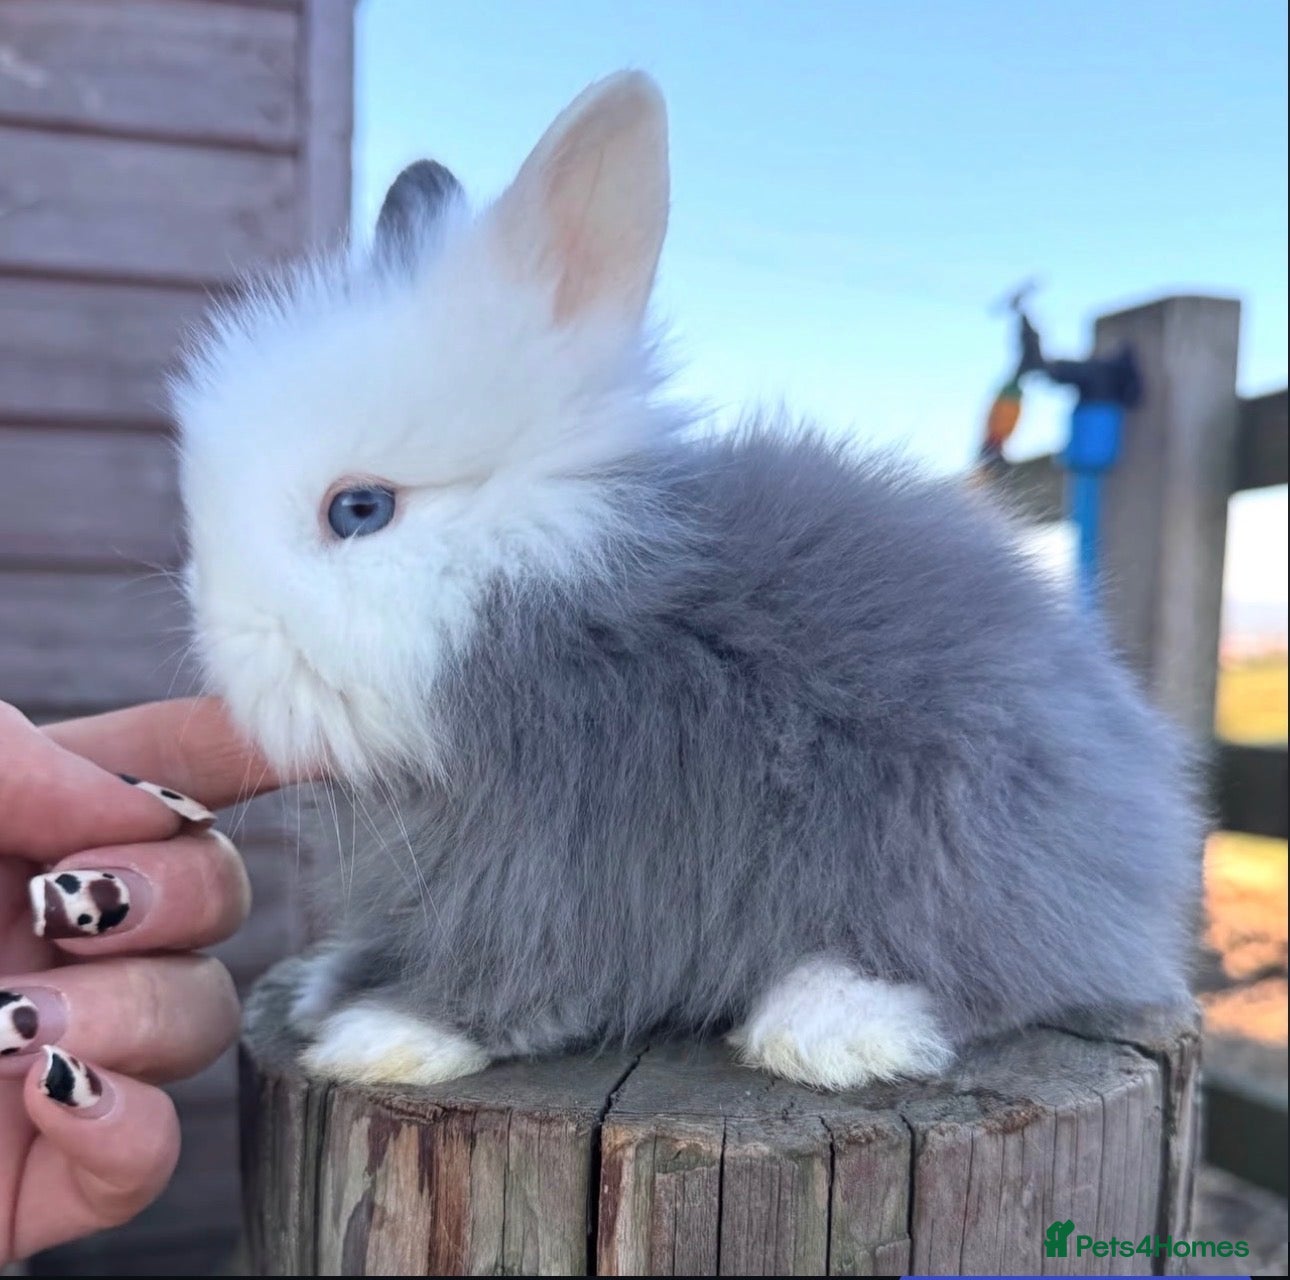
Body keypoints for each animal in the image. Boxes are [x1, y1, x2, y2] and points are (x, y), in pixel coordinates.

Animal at [174, 72, 1202, 1091]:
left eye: (359, 509)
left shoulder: (559, 868)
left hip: (964, 838)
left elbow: (522, 974)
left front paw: (388, 1035)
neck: (543, 599)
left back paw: (826, 1026)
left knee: (998, 969)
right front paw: (330, 989)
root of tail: (1149, 821)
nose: (229, 655)